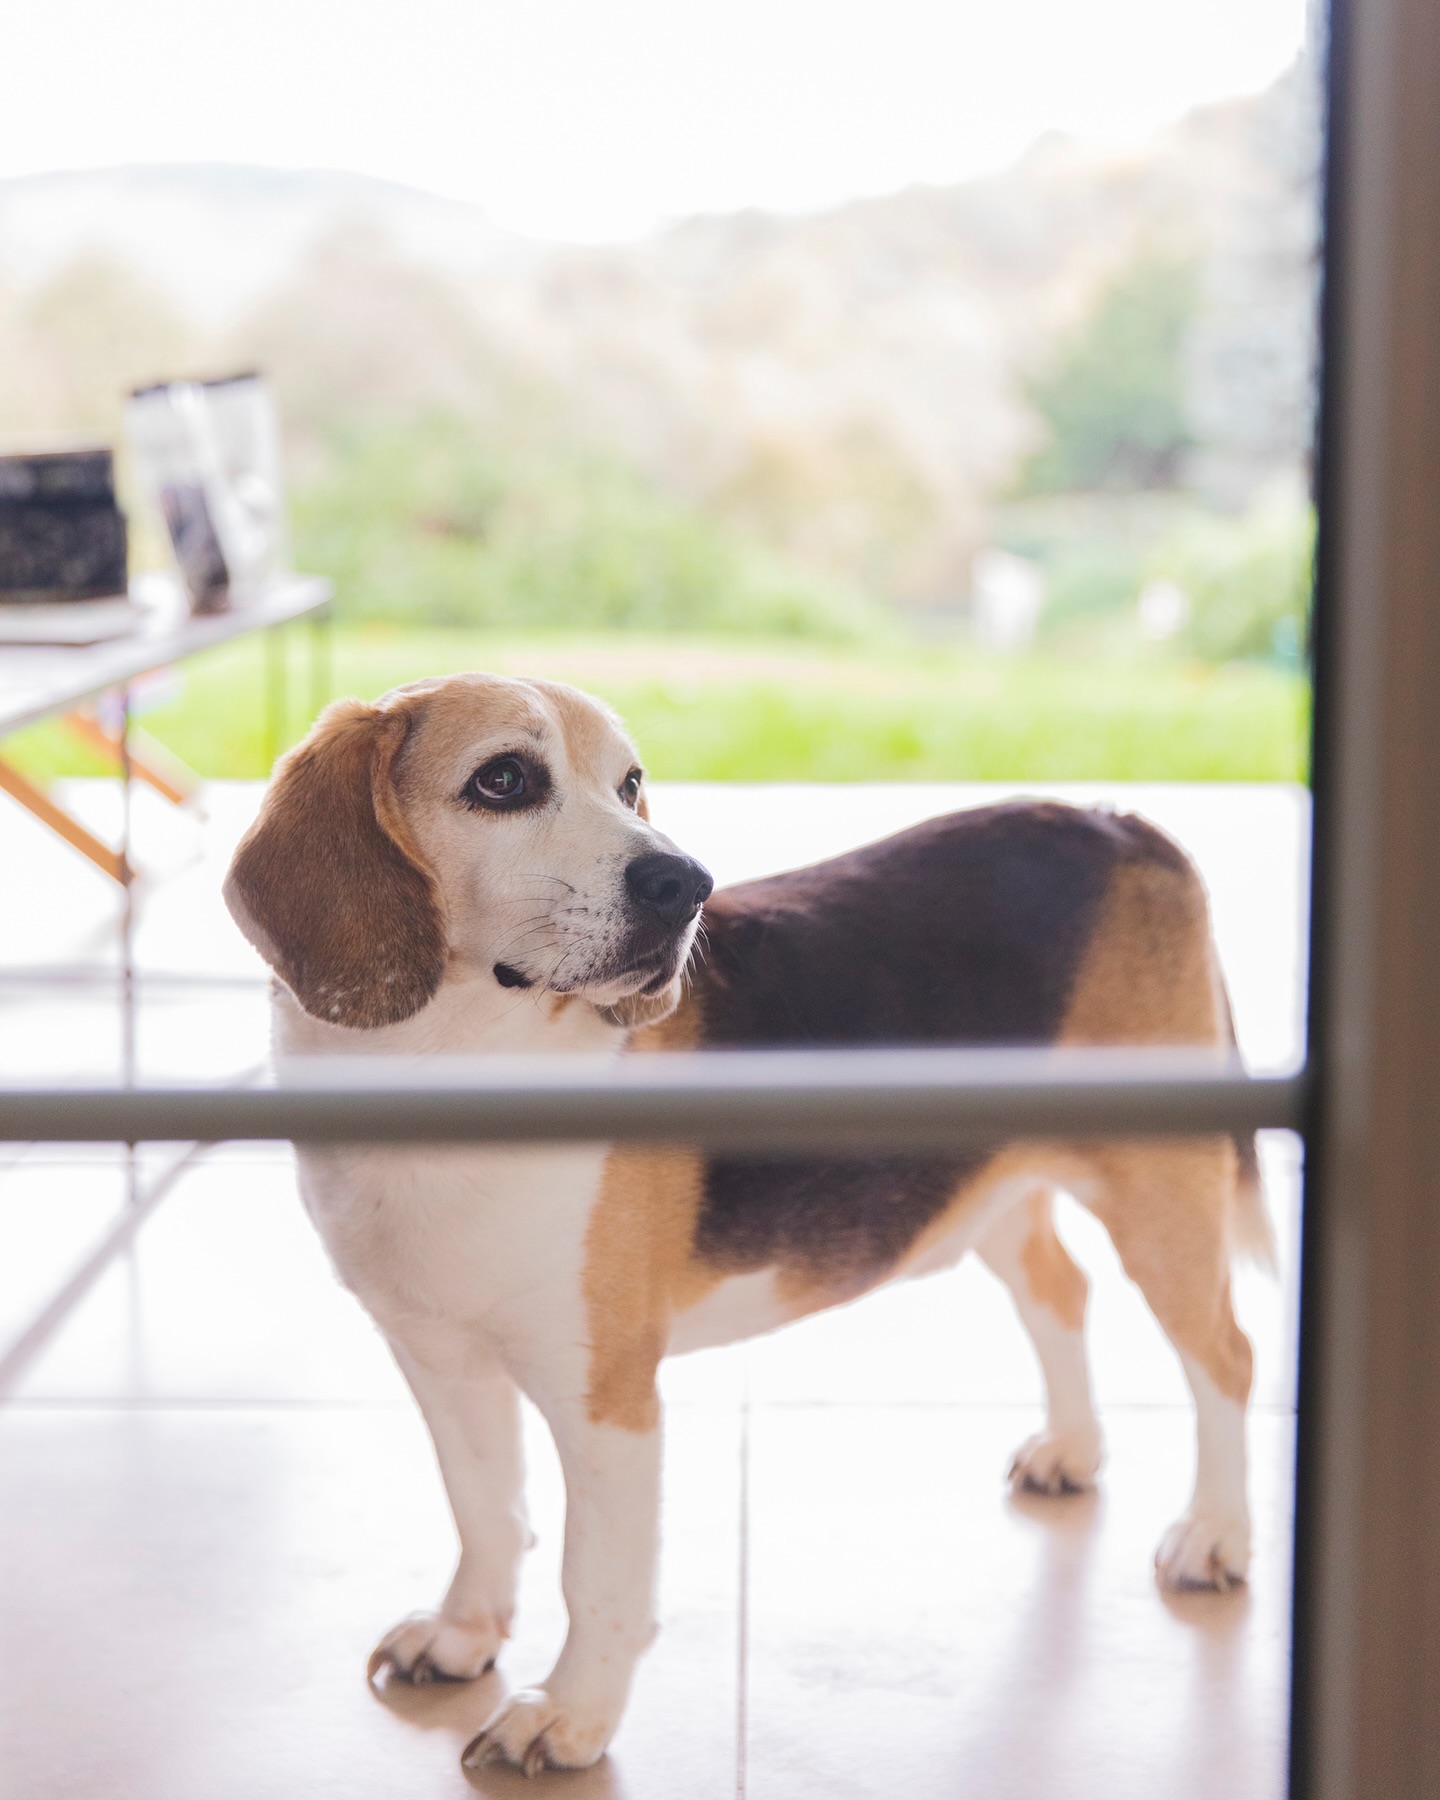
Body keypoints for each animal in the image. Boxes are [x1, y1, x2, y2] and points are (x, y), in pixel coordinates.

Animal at [219, 673, 1267, 1771]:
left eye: (629, 782)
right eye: (502, 780)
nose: (687, 884)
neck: (453, 1060)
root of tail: (1118, 821)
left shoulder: (604, 1394)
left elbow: (596, 1575)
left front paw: (572, 1715)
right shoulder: (437, 1358)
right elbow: (486, 1510)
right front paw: (466, 1635)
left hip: (1161, 1197)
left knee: (1226, 1358)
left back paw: (1215, 1536)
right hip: (990, 1188)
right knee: (1064, 1290)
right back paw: (1072, 1449)